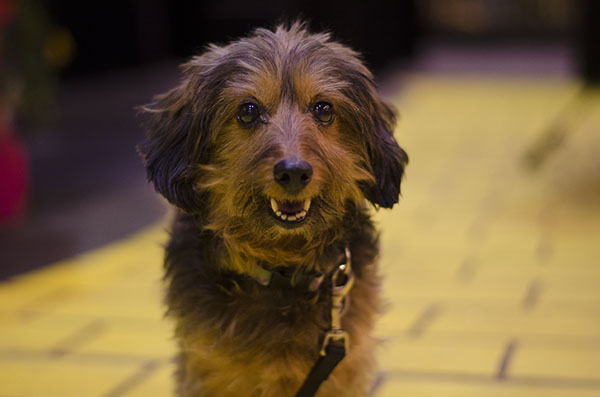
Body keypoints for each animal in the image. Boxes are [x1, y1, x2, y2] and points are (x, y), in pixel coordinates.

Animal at [138, 21, 408, 396]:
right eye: (248, 110)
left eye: (324, 109)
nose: (293, 172)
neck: (283, 271)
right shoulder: (208, 371)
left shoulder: (344, 369)